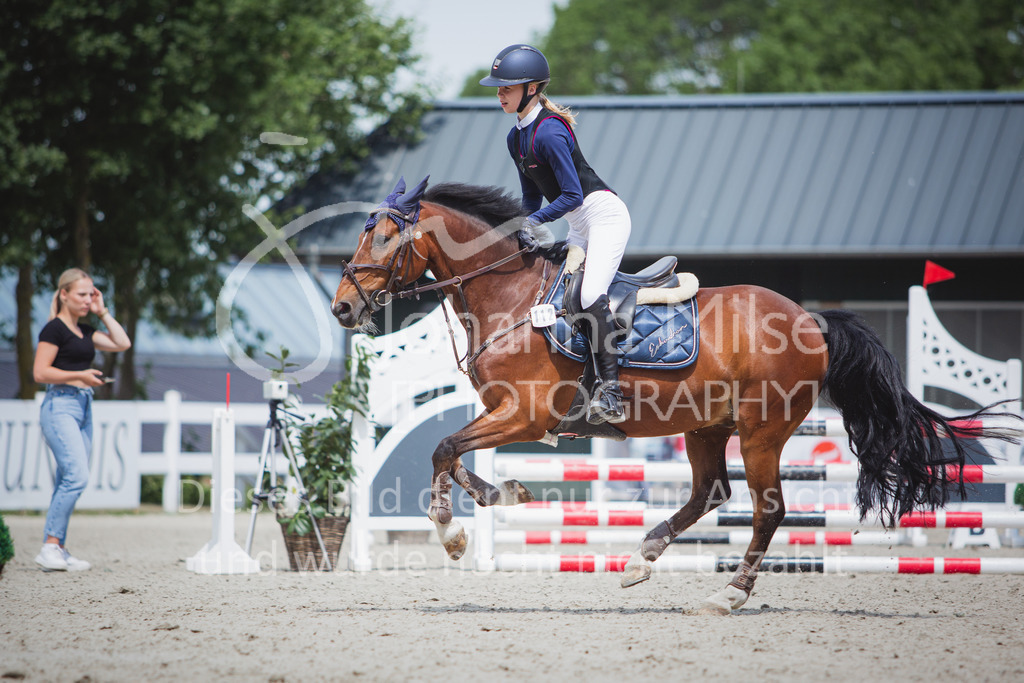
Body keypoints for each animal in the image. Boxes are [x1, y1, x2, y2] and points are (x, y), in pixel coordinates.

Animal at [331, 177, 1018, 614]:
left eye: (382, 238)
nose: (342, 308)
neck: (511, 296)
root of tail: (811, 320)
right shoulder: (506, 413)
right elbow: (453, 450)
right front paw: (503, 494)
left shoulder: (525, 416)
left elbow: (444, 446)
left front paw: (451, 534)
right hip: (704, 426)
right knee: (711, 492)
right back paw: (643, 556)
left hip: (761, 431)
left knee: (767, 510)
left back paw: (728, 594)